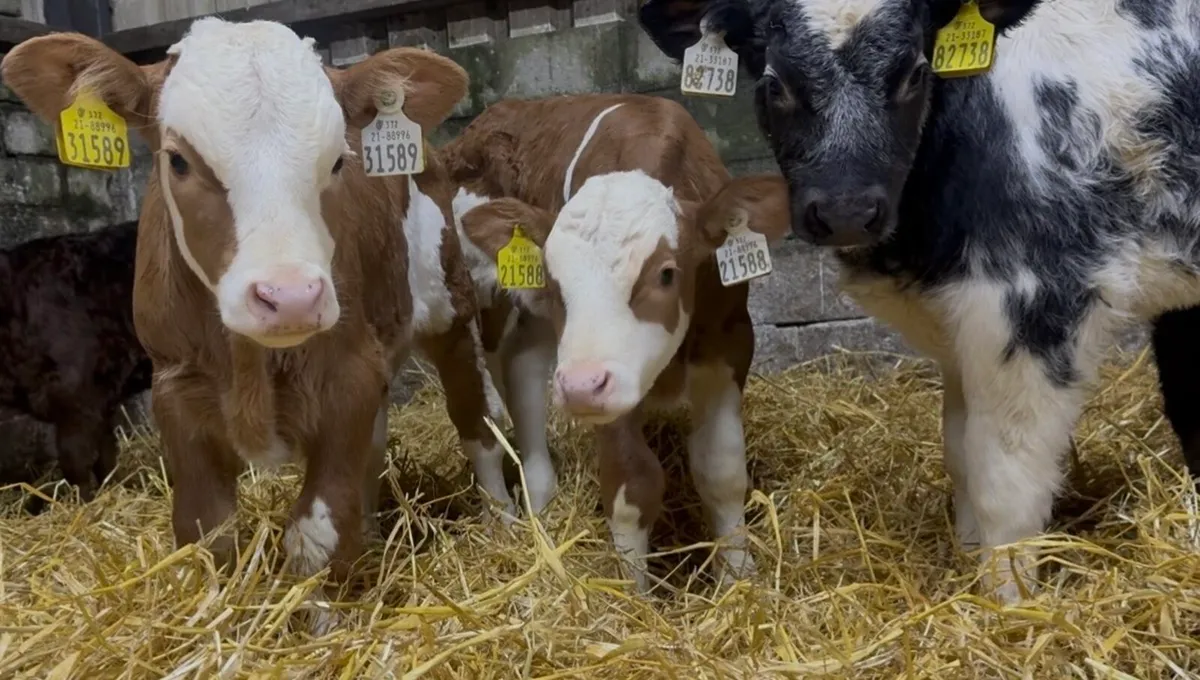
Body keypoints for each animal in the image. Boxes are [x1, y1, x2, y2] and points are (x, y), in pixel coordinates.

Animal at [441, 93, 791, 590]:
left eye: (667, 273)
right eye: (553, 277)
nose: (579, 386)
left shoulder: (731, 339)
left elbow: (721, 469)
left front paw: (739, 576)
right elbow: (632, 482)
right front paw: (634, 592)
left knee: (526, 367)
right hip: (496, 302)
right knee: (512, 384)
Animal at [637, 0, 1200, 602]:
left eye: (912, 73)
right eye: (774, 82)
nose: (845, 212)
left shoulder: (1033, 307)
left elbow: (1005, 485)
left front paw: (1007, 604)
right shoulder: (960, 333)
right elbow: (962, 456)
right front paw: (969, 564)